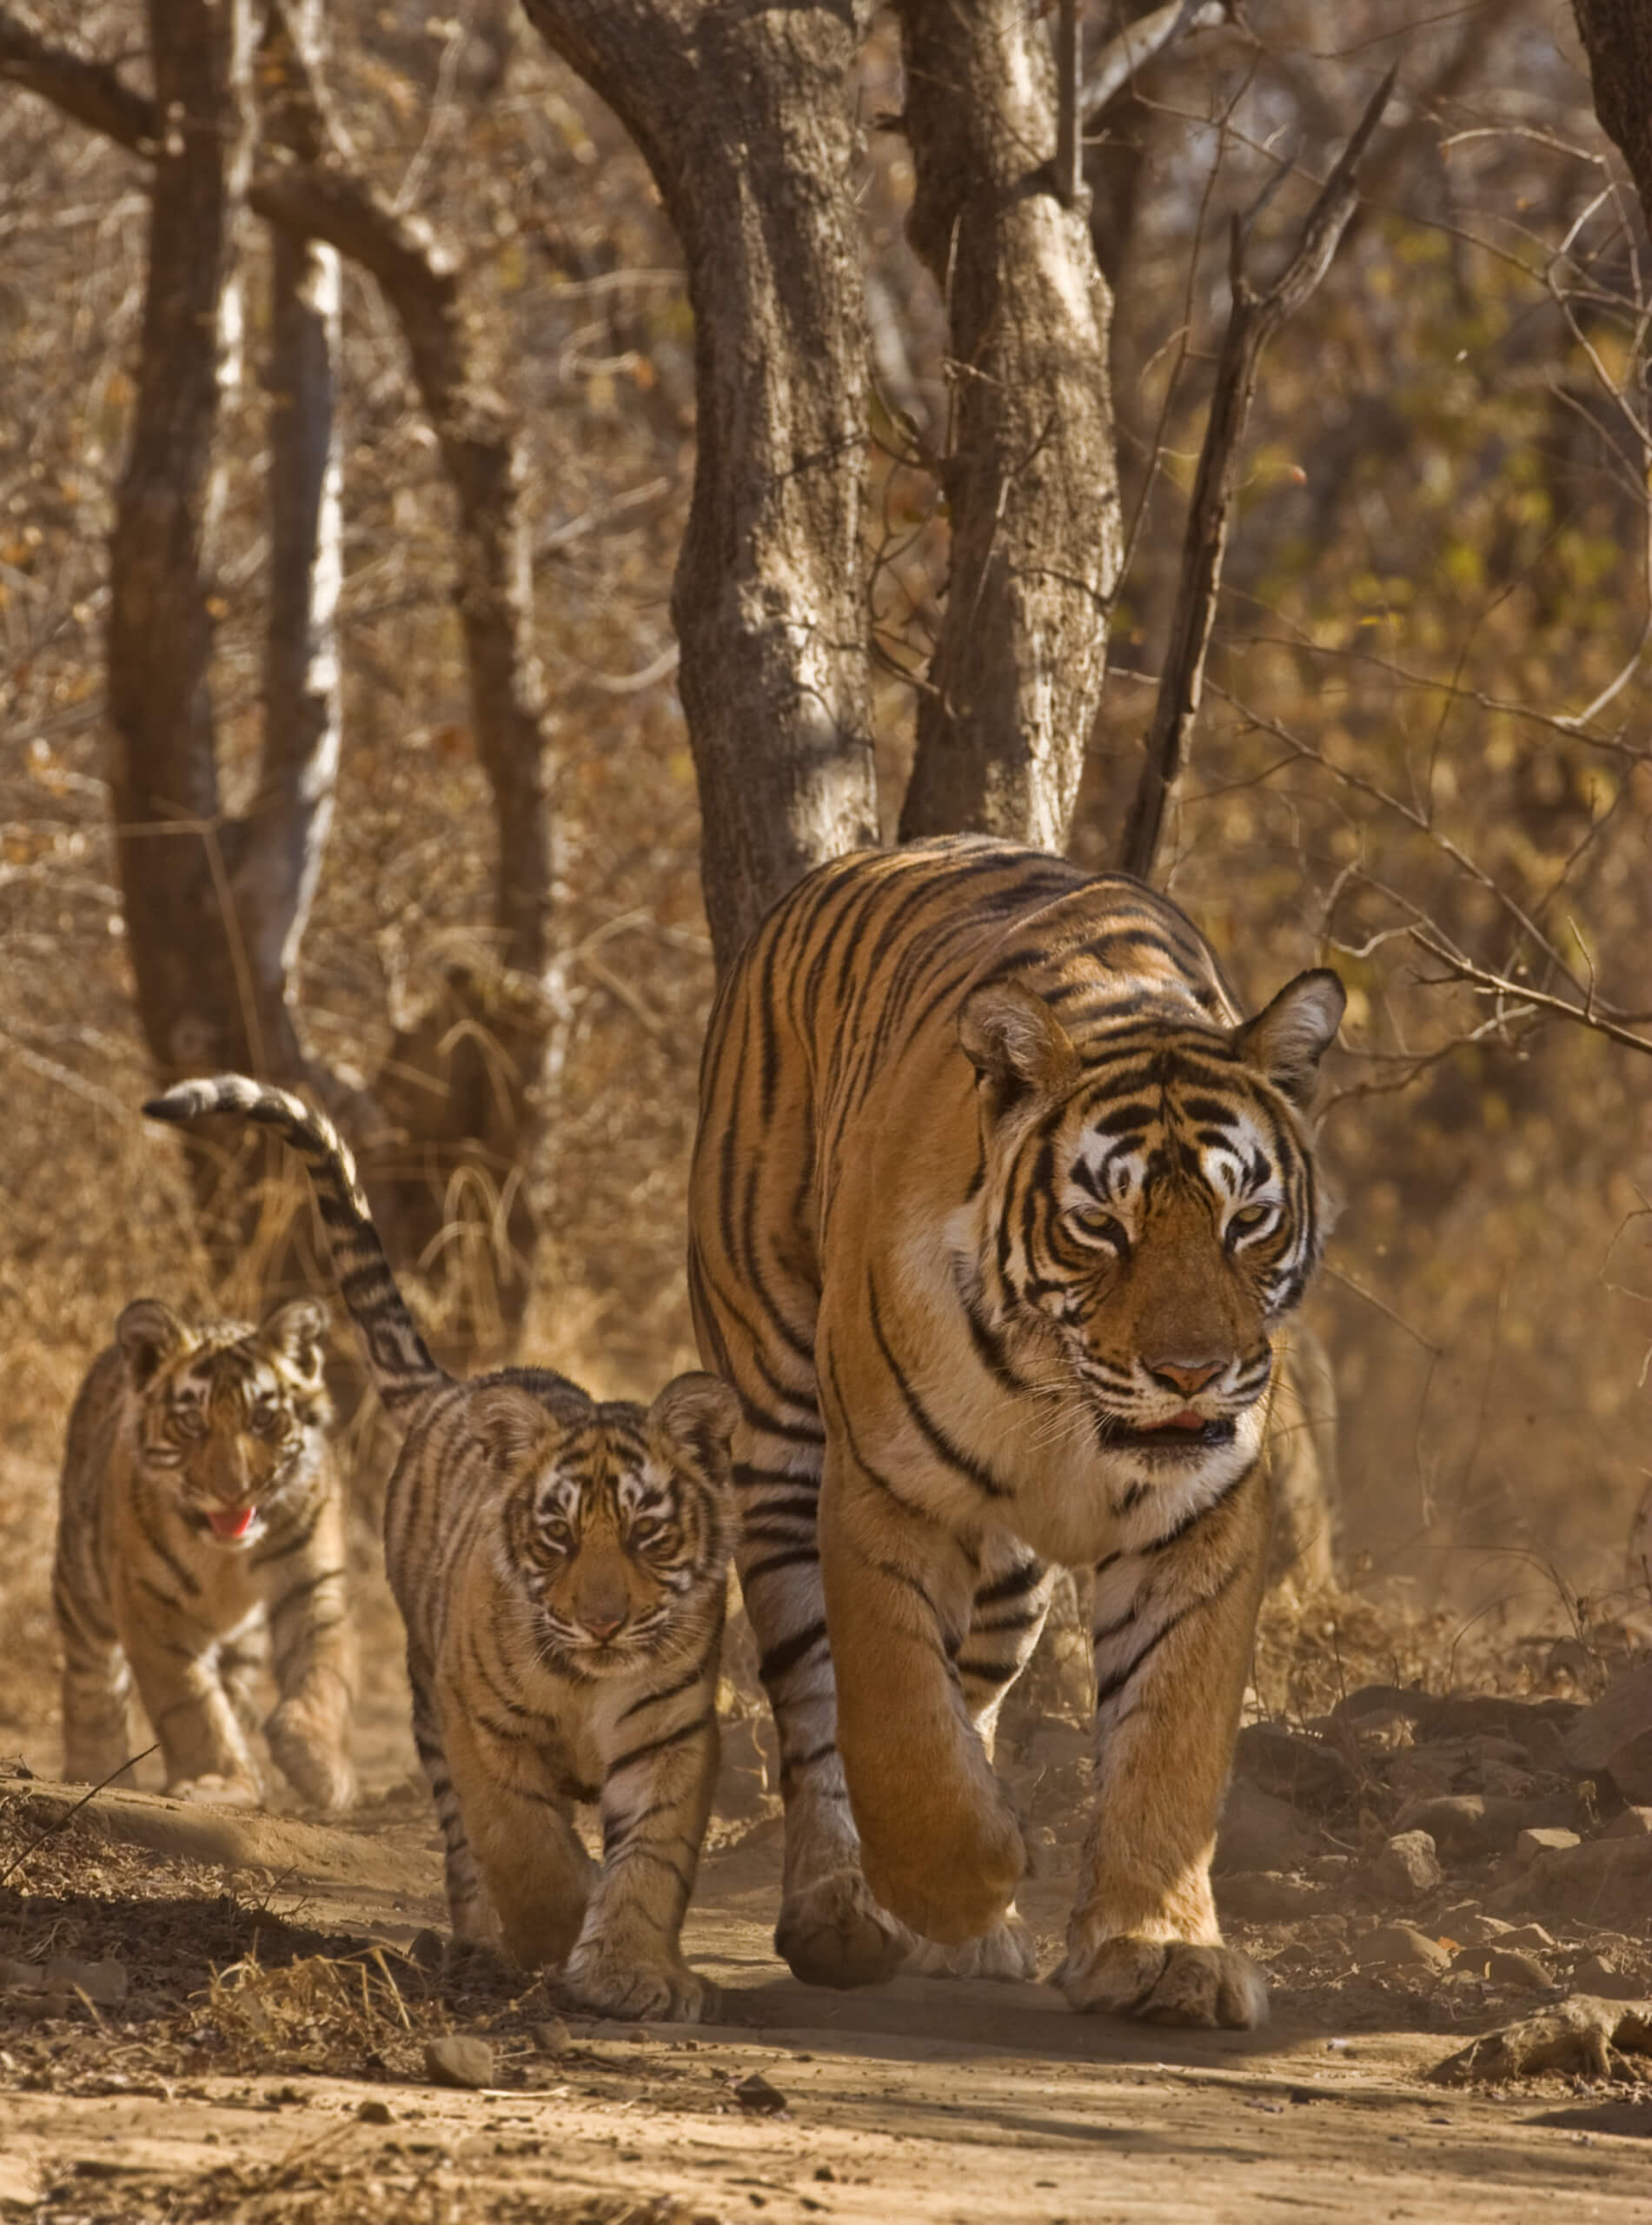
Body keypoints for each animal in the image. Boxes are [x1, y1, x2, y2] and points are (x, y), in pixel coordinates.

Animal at [52, 1296, 357, 1813]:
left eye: (262, 1420)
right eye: (193, 1423)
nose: (233, 1491)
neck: (226, 1558)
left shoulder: (312, 1580)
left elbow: (324, 1670)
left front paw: (320, 1768)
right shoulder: (149, 1602)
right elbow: (189, 1702)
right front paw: (218, 1781)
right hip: (83, 1586)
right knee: (91, 1682)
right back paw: (94, 1770)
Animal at [145, 1076, 740, 2023]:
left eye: (647, 1533)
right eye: (557, 1535)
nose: (603, 1624)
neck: (590, 1680)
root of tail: (457, 1389)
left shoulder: (671, 1733)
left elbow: (652, 1859)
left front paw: (632, 1973)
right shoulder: (481, 1727)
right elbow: (522, 1845)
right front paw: (554, 1931)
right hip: (428, 1700)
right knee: (466, 1843)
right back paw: (479, 1939)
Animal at [687, 834, 1345, 2030]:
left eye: (1245, 1221)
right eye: (1101, 1225)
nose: (1190, 1374)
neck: (1061, 1405)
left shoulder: (1199, 1519)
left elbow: (1169, 1736)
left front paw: (1159, 1949)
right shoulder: (885, 1492)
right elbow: (894, 1717)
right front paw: (970, 1874)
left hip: (1008, 1580)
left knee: (977, 1683)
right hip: (775, 1426)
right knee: (810, 1697)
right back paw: (844, 1913)